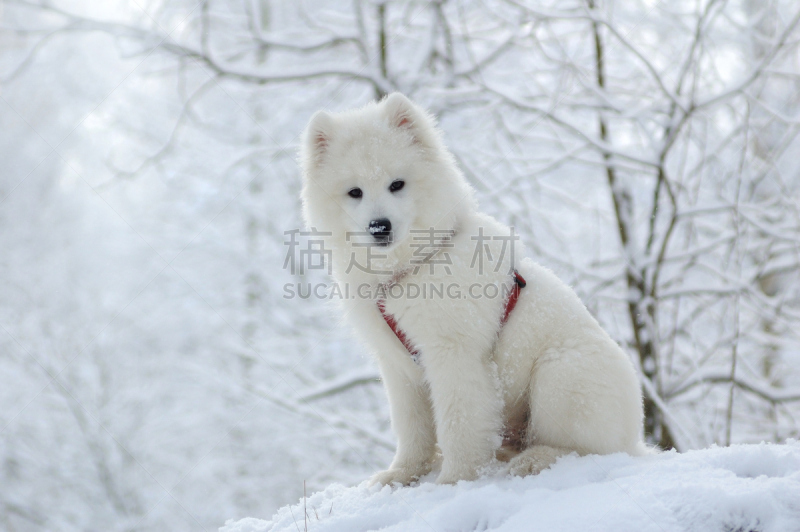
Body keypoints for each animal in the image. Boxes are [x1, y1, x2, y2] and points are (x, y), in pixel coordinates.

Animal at [296, 93, 648, 484]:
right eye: (354, 192)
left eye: (397, 184)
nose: (379, 226)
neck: (410, 267)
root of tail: (636, 437)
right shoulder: (399, 365)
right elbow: (412, 427)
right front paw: (402, 474)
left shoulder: (454, 354)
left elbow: (458, 423)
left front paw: (455, 480)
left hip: (561, 375)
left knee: (586, 448)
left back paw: (535, 460)